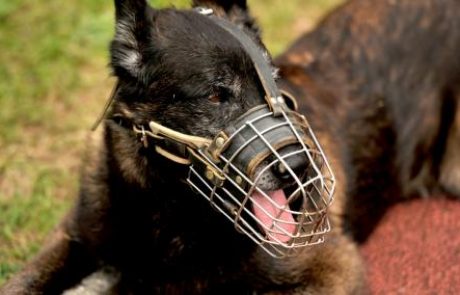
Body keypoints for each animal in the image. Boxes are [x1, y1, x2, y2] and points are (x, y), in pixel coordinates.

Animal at [0, 0, 460, 294]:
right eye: (216, 94)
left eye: (275, 82)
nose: (303, 169)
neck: (166, 208)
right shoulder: (71, 235)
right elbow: (21, 282)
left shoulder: (335, 269)